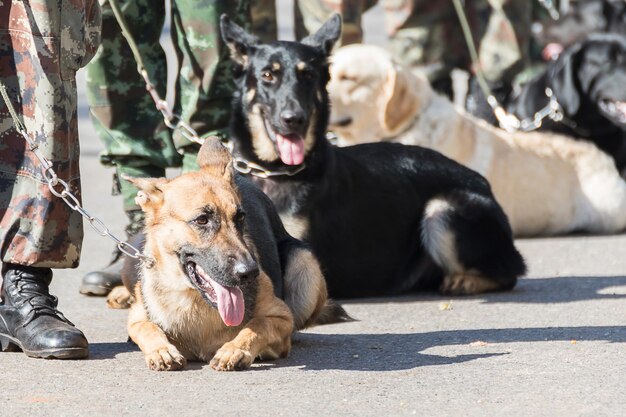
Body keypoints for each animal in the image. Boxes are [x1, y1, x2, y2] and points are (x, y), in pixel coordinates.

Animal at [119, 140, 348, 370]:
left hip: (304, 260)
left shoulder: (282, 317)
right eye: (202, 220)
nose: (250, 272)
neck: (194, 300)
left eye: (240, 218)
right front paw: (161, 350)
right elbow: (147, 328)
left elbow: (258, 325)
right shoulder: (137, 318)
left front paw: (236, 349)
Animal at [219, 14, 528, 298]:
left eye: (308, 76)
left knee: (509, 274)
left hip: (441, 210)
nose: (294, 119)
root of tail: (483, 184)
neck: (273, 170)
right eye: (268, 76)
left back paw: (466, 281)